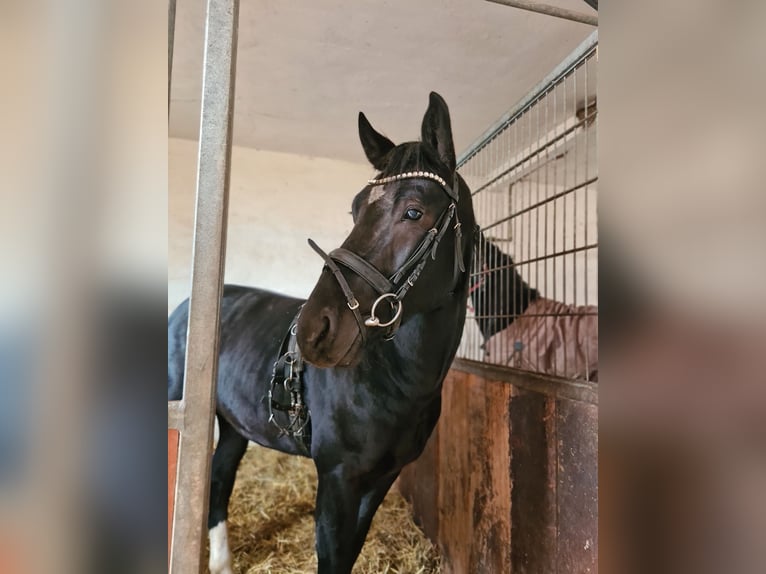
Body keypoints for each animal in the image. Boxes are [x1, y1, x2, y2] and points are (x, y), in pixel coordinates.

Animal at [170, 94, 474, 574]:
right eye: (355, 209)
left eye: (414, 212)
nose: (315, 328)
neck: (395, 381)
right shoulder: (336, 479)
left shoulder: (379, 480)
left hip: (234, 426)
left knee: (218, 478)